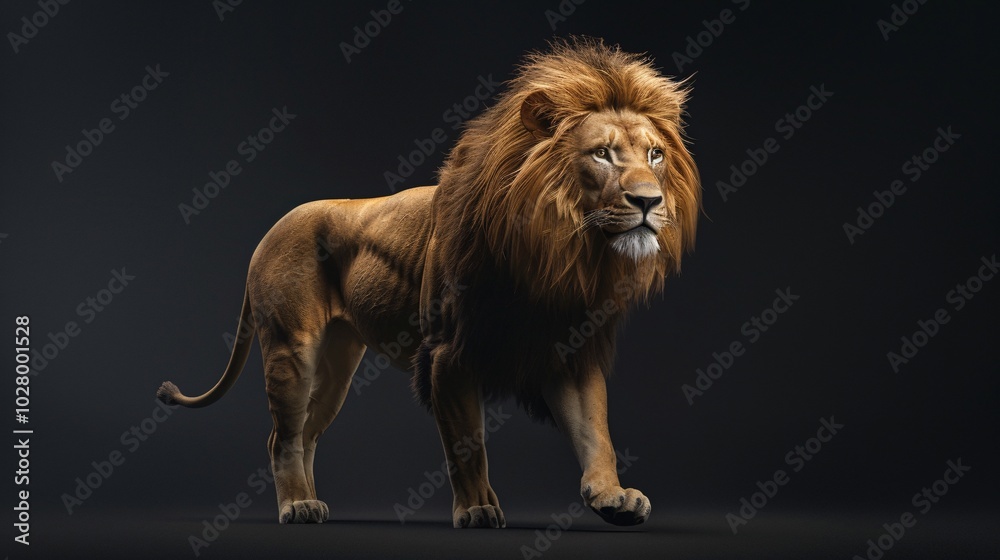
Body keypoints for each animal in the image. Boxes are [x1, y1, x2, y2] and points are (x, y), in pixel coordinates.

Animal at [157, 37, 700, 529]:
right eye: (602, 154)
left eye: (655, 155)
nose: (650, 202)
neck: (558, 252)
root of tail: (268, 233)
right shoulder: (447, 355)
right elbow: (468, 446)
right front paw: (477, 509)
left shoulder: (567, 348)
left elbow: (596, 433)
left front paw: (613, 497)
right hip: (293, 347)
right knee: (283, 436)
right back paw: (296, 506)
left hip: (337, 363)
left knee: (308, 432)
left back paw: (310, 501)